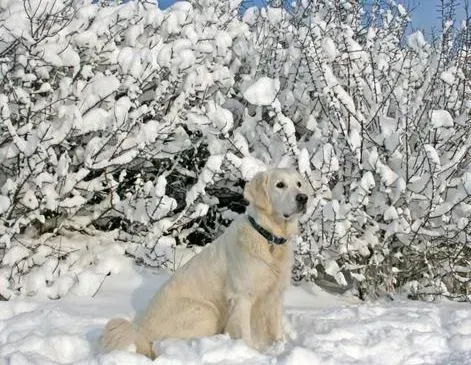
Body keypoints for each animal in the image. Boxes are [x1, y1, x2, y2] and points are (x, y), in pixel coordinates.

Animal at [101, 168, 312, 358]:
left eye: (299, 184)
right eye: (280, 185)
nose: (303, 198)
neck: (269, 238)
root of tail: (141, 332)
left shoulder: (275, 294)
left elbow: (277, 330)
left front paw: (280, 347)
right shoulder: (242, 297)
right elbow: (245, 333)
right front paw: (252, 353)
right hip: (205, 311)